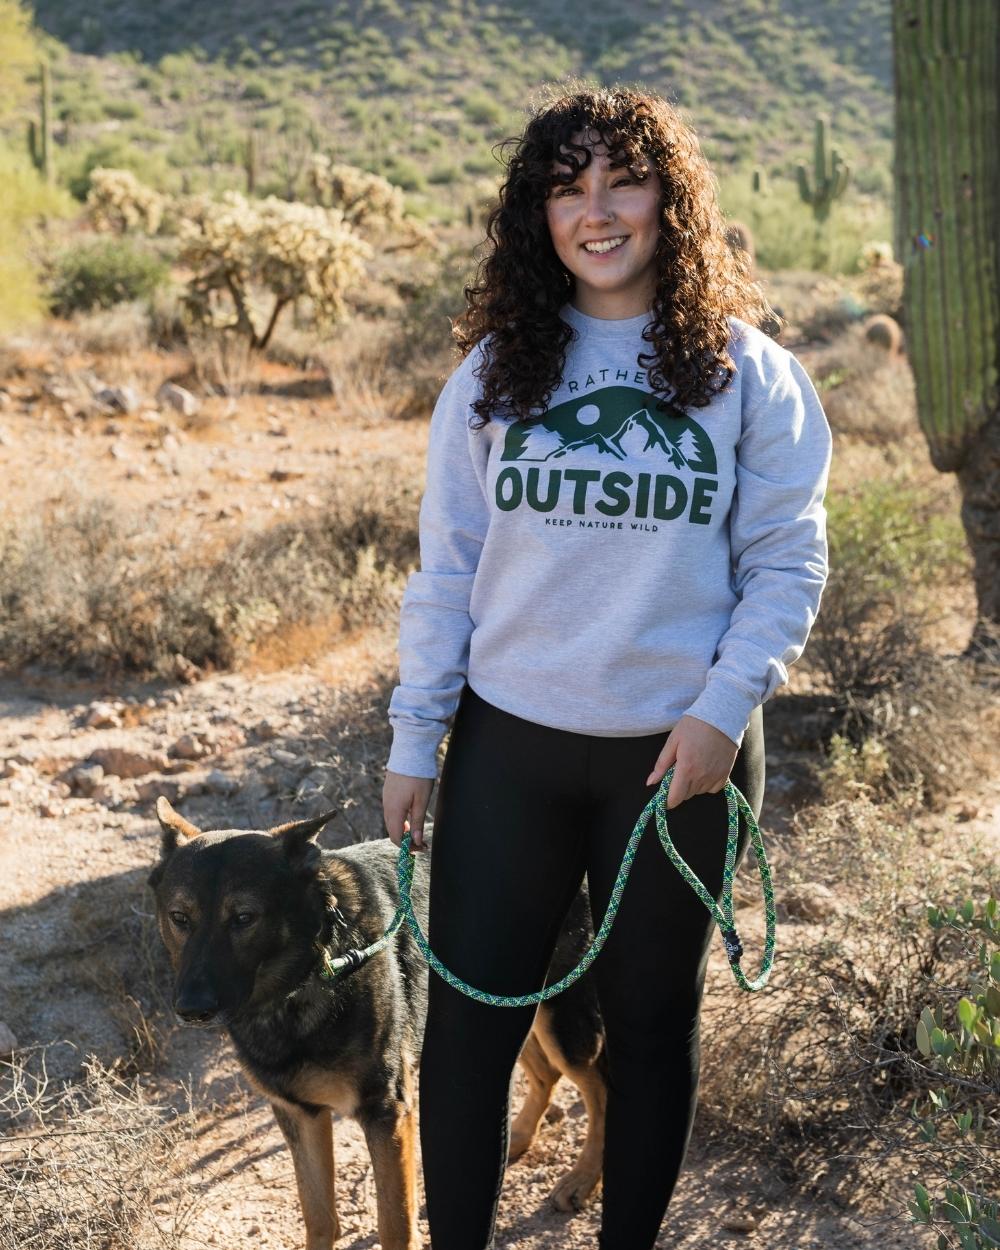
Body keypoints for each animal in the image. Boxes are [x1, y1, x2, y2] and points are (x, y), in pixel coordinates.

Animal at [144, 800, 605, 1250]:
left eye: (243, 918)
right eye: (179, 917)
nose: (192, 1009)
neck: (309, 973)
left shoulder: (386, 1112)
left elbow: (395, 1226)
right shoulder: (301, 1115)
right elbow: (320, 1219)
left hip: (558, 1020)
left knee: (599, 1087)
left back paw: (582, 1179)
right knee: (544, 1075)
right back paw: (519, 1139)